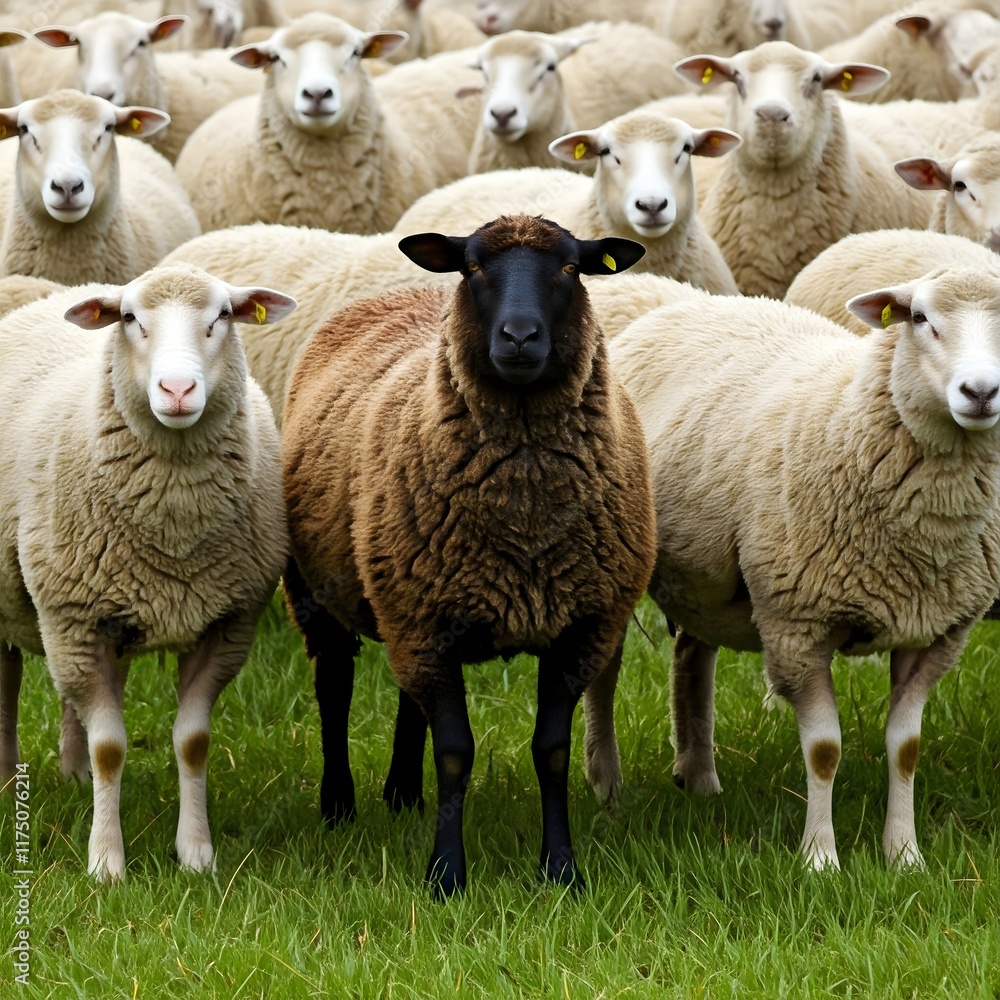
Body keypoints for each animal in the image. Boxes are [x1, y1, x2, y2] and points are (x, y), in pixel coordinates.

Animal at [0, 263, 296, 880]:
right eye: (131, 318)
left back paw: (73, 775)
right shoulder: (73, 622)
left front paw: (197, 855)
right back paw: (6, 780)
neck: (174, 531)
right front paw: (106, 864)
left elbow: (193, 742)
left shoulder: (225, 626)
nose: (177, 391)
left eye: (223, 316)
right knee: (7, 683)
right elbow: (111, 747)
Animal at [281, 214, 656, 895]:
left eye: (571, 268)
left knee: (408, 698)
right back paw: (339, 803)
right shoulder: (426, 622)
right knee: (334, 686)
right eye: (474, 267)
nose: (519, 337)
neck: (526, 513)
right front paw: (446, 876)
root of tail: (399, 292)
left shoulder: (577, 628)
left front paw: (561, 870)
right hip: (321, 593)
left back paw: (403, 793)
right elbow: (455, 751)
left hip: (404, 595)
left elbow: (551, 751)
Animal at [605, 271, 1000, 870]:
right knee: (600, 676)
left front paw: (903, 855)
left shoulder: (937, 634)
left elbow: (906, 749)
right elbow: (823, 751)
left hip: (705, 581)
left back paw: (699, 779)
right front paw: (820, 859)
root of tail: (680, 300)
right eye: (919, 319)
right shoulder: (796, 626)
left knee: (692, 655)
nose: (979, 393)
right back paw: (604, 784)